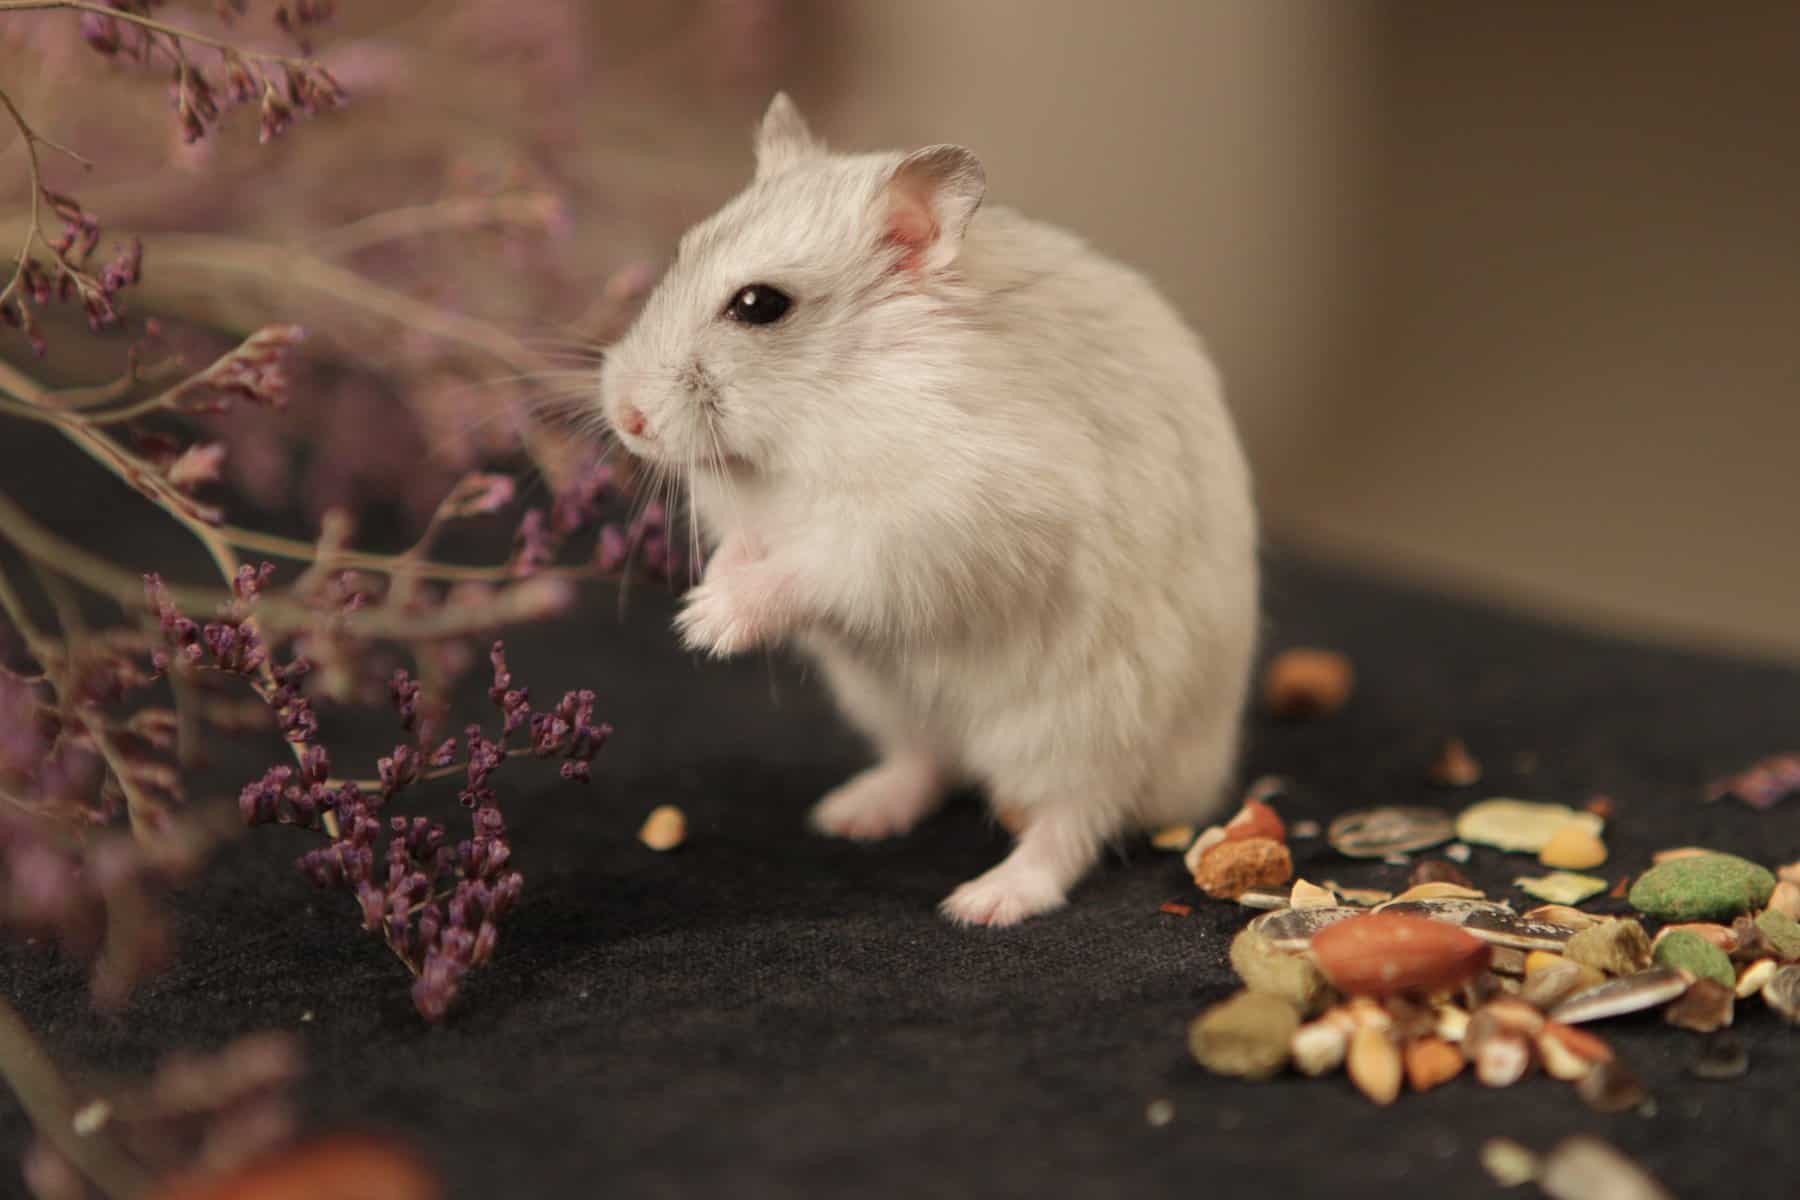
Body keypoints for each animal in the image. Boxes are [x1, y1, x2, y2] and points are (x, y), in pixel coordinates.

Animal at [597, 91, 1260, 928]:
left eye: (759, 305)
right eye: (681, 253)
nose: (624, 416)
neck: (812, 411)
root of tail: (1200, 779)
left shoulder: (932, 526)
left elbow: (810, 568)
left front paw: (705, 625)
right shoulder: (756, 520)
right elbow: (747, 550)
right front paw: (703, 601)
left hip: (1085, 732)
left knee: (1070, 826)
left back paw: (983, 902)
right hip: (894, 705)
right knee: (928, 764)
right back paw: (849, 815)